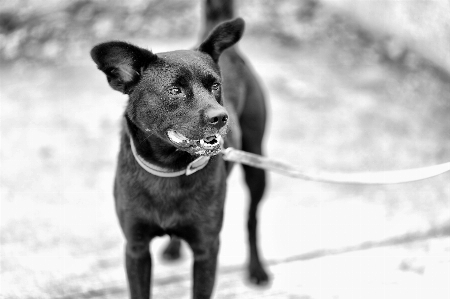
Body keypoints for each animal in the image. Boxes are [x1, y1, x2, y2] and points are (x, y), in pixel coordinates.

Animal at [90, 0, 268, 298]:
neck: (168, 168)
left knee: (252, 219)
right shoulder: (136, 248)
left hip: (257, 164)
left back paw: (257, 269)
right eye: (175, 90)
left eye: (215, 85)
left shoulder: (207, 249)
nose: (221, 117)